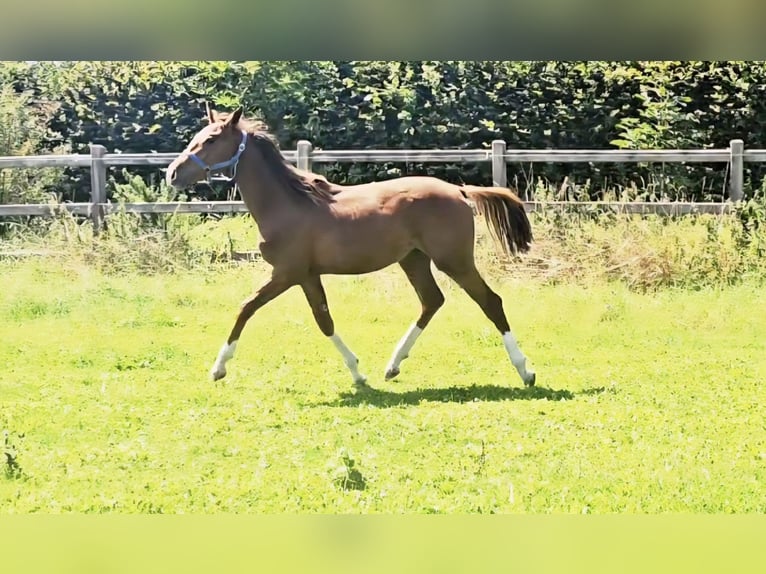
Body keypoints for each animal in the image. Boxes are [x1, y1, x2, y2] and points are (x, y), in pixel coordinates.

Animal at [166, 106, 537, 388]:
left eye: (211, 139)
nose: (172, 174)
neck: (287, 204)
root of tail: (458, 190)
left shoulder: (286, 273)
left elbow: (246, 308)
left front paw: (218, 368)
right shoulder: (307, 275)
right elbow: (323, 320)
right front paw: (359, 374)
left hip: (453, 259)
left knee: (490, 301)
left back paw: (525, 371)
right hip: (414, 260)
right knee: (432, 301)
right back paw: (392, 366)